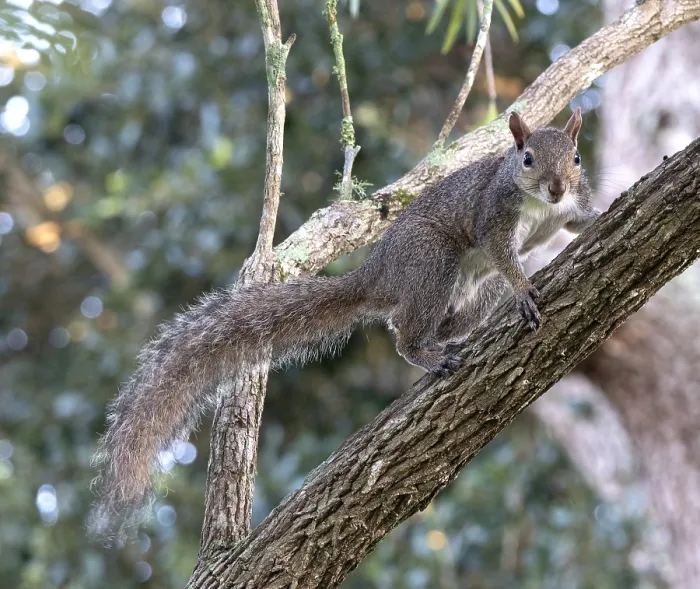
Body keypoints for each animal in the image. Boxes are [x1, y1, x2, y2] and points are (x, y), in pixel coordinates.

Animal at [89, 108, 601, 537]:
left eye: (576, 157)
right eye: (527, 158)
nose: (557, 187)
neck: (542, 207)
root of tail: (376, 276)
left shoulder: (571, 209)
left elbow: (579, 222)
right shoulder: (493, 214)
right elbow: (503, 255)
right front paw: (524, 289)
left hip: (468, 289)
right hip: (432, 262)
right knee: (404, 332)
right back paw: (430, 355)